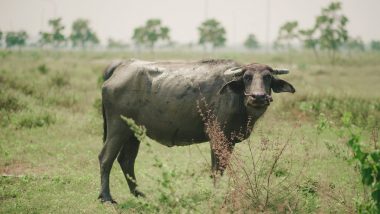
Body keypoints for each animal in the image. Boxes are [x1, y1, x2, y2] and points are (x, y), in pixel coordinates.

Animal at [97, 58, 294, 202]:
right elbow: (216, 169)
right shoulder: (217, 137)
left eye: (267, 77)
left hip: (133, 133)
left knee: (126, 160)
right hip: (117, 128)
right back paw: (106, 197)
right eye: (247, 77)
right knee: (106, 158)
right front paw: (216, 195)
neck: (236, 98)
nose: (258, 97)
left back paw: (138, 194)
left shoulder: (229, 141)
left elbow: (222, 168)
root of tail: (121, 66)